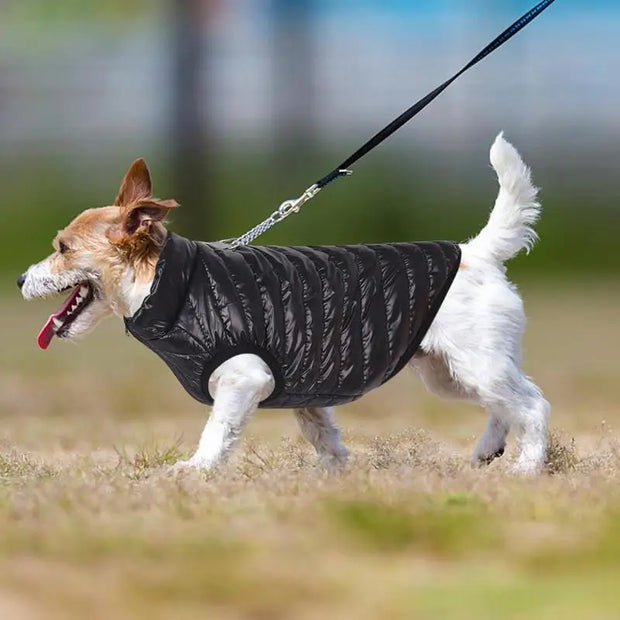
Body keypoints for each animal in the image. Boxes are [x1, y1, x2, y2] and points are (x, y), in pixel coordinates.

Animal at [17, 134, 548, 474]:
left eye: (62, 248)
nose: (21, 277)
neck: (173, 285)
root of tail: (476, 251)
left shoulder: (244, 377)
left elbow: (217, 430)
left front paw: (195, 470)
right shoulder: (305, 397)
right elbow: (324, 438)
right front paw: (336, 477)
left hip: (475, 365)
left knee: (533, 405)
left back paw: (527, 467)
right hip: (448, 374)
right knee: (505, 407)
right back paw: (487, 452)